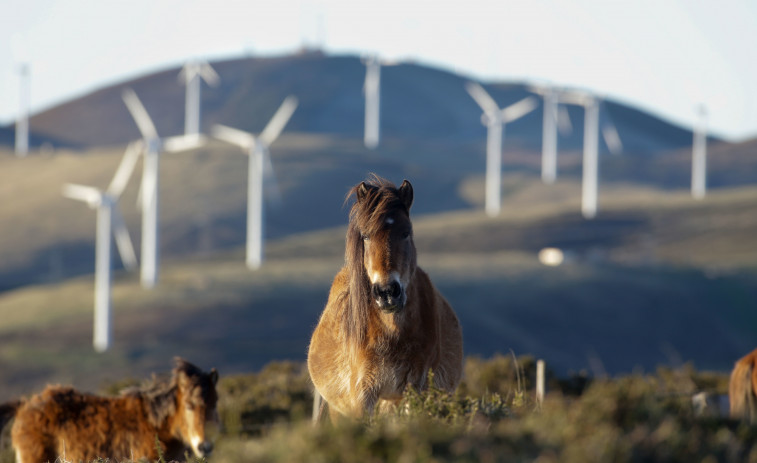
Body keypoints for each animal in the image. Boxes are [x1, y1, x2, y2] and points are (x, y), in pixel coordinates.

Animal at [306, 175, 460, 420]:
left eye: (406, 232)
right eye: (366, 236)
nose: (387, 292)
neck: (391, 332)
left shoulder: (414, 388)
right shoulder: (362, 395)